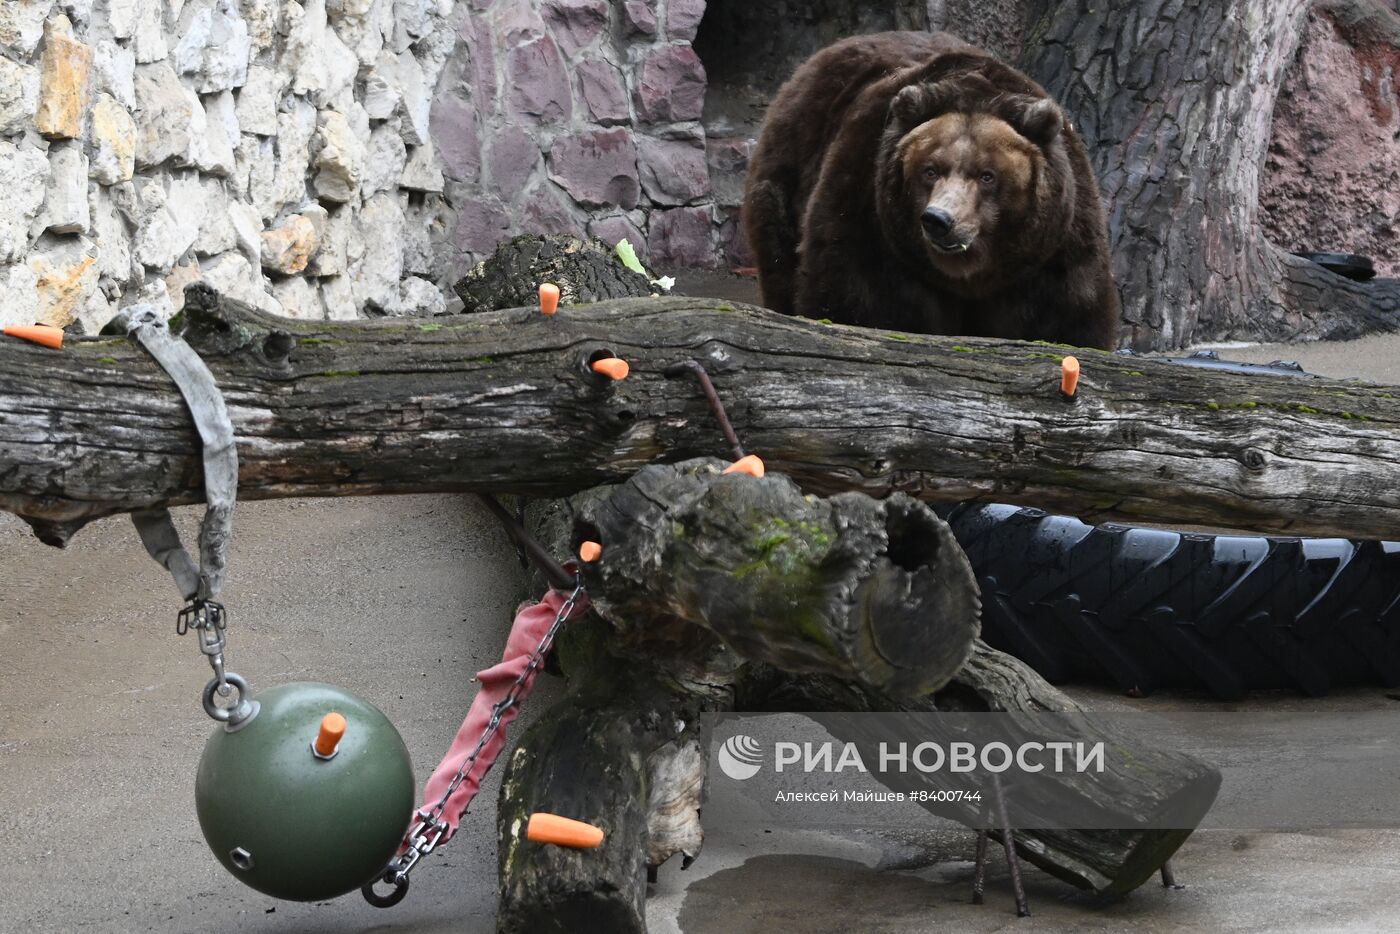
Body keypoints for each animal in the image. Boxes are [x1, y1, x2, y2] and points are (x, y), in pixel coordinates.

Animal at [750, 32, 1120, 350]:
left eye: (987, 175)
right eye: (930, 170)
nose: (939, 220)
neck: (970, 276)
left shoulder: (1052, 253)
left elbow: (1066, 320)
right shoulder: (869, 217)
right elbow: (856, 301)